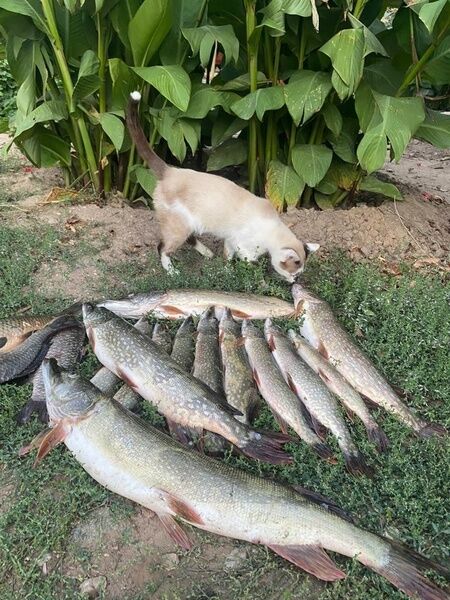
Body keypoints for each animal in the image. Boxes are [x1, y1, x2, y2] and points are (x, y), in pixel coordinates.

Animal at [126, 91, 320, 283]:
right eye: (293, 273)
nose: (294, 282)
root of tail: (170, 170)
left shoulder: (231, 241)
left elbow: (227, 258)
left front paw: (226, 272)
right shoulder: (243, 247)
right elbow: (253, 266)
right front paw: (261, 282)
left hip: (189, 225)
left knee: (188, 239)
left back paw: (208, 254)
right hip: (179, 227)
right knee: (162, 247)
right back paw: (173, 272)